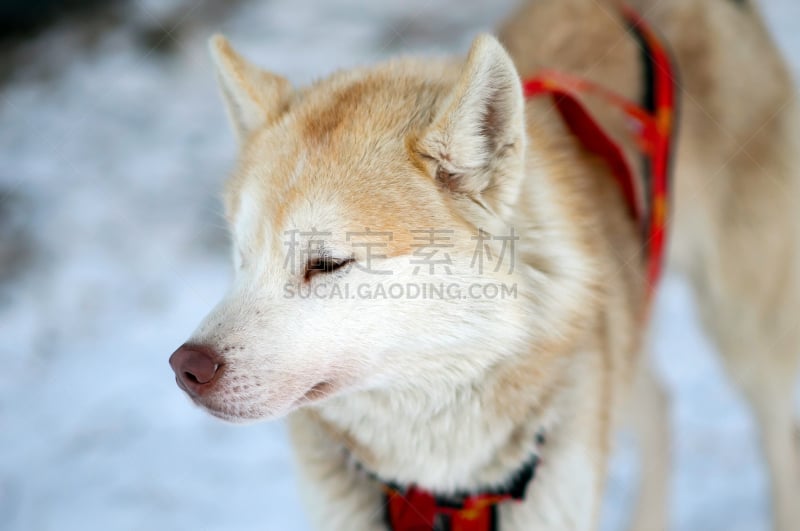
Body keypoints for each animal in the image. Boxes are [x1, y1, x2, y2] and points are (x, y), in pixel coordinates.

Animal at [169, 2, 800, 528]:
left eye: (326, 263)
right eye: (242, 256)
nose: (186, 367)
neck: (437, 484)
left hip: (743, 330)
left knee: (777, 435)